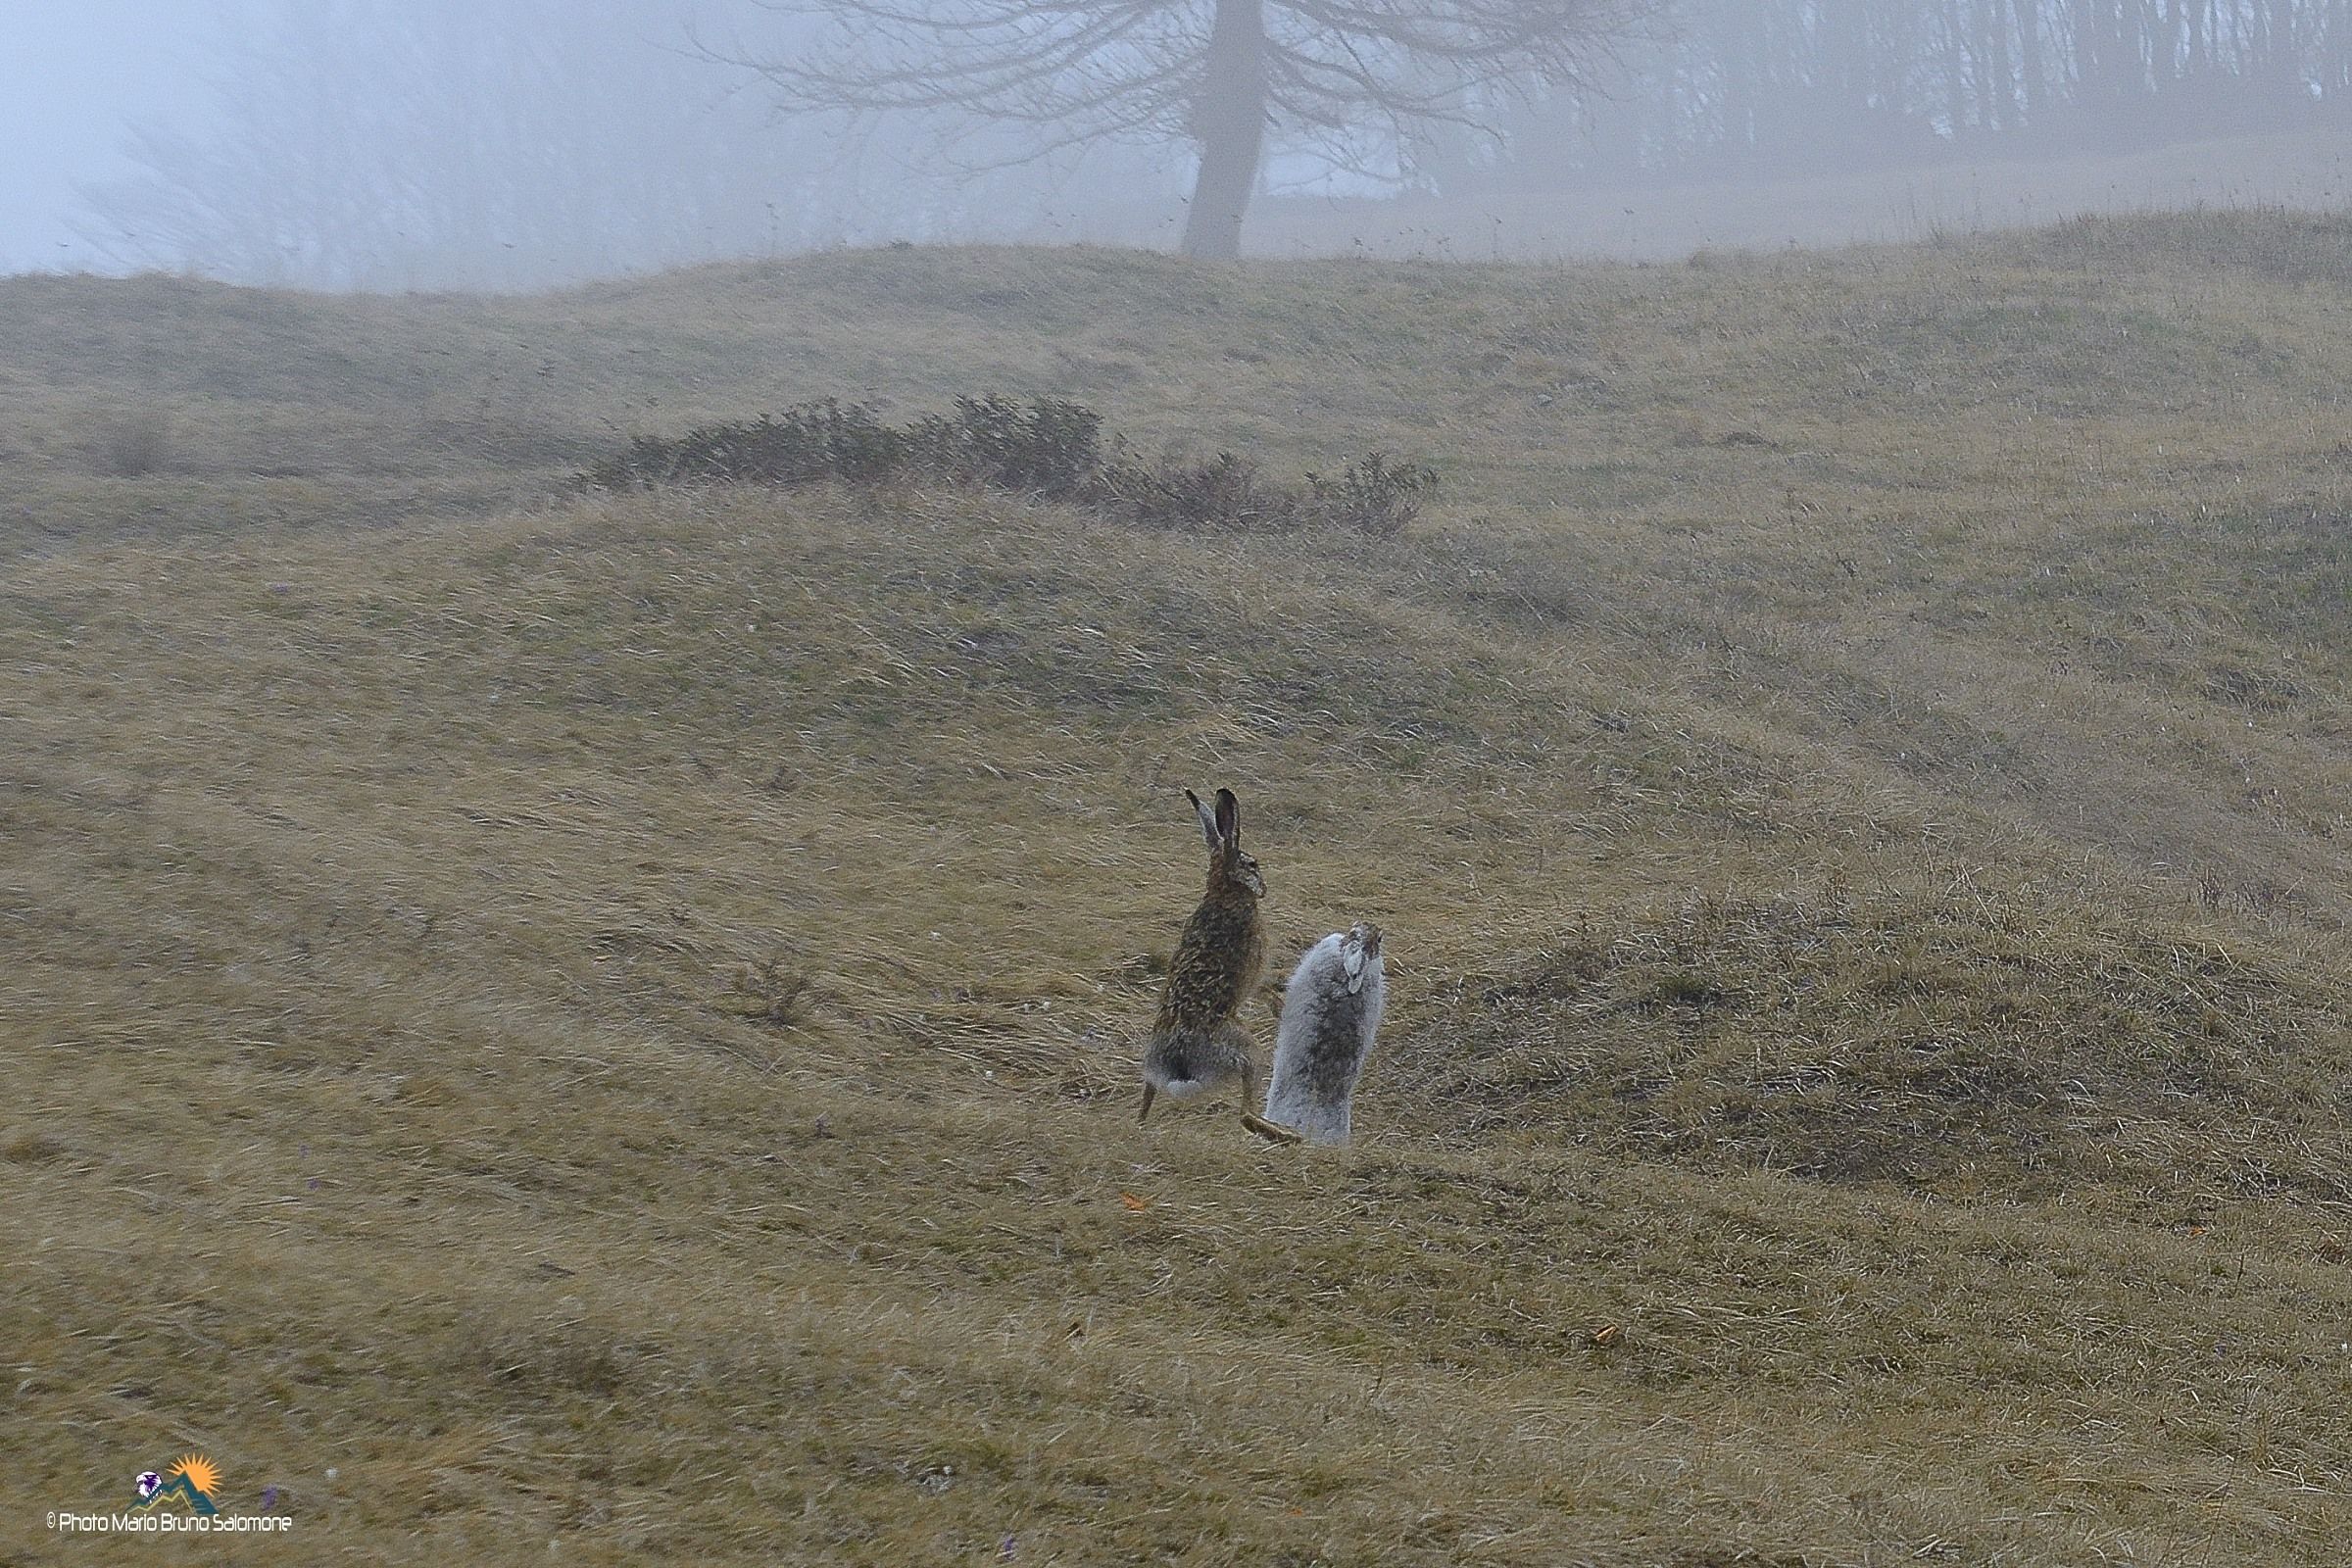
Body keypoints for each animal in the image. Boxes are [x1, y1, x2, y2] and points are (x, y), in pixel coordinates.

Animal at [1138, 787, 1301, 1143]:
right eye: (1252, 865)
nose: (1264, 889)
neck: (1223, 891)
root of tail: (1182, 1067)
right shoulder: (1256, 967)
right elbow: (1263, 985)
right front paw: (1280, 1003)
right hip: (1248, 1051)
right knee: (1246, 1115)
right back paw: (1287, 1135)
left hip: (1152, 1066)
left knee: (1146, 1098)